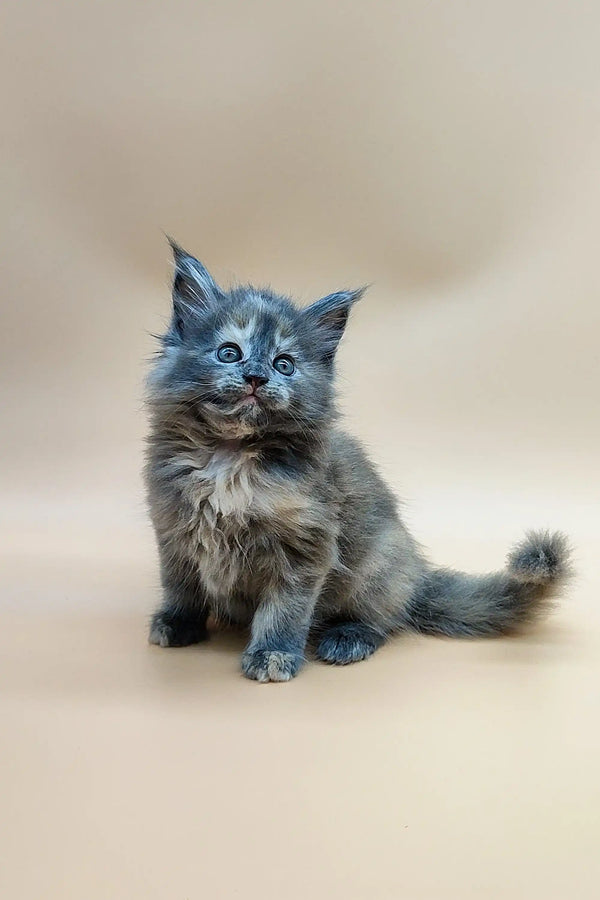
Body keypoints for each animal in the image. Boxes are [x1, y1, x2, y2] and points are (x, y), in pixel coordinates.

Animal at [144, 239, 572, 684]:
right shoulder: (173, 531)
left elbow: (285, 609)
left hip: (377, 564)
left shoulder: (306, 546)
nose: (257, 377)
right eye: (229, 353)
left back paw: (348, 638)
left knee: (385, 619)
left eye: (284, 364)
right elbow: (180, 585)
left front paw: (273, 654)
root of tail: (417, 574)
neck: (230, 455)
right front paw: (178, 623)